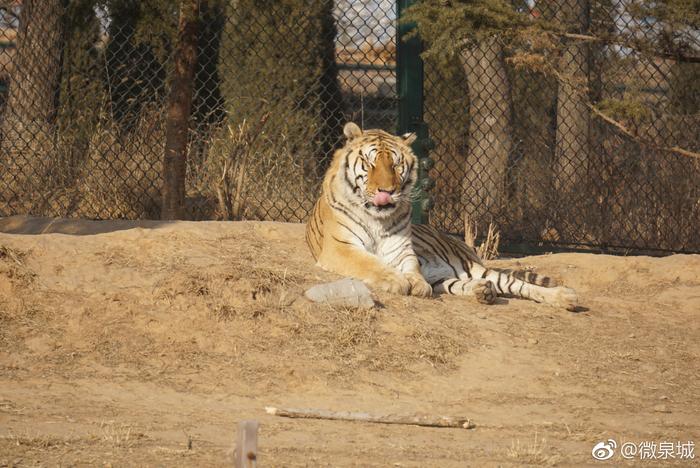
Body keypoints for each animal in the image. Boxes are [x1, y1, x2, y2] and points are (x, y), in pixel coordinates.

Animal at [306, 122, 580, 308]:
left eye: (395, 164)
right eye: (370, 163)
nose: (387, 191)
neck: (378, 217)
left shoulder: (402, 250)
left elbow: (411, 267)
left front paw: (416, 284)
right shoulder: (341, 247)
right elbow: (370, 263)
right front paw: (396, 280)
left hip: (467, 266)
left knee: (514, 284)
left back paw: (565, 297)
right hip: (446, 277)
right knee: (473, 285)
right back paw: (484, 292)